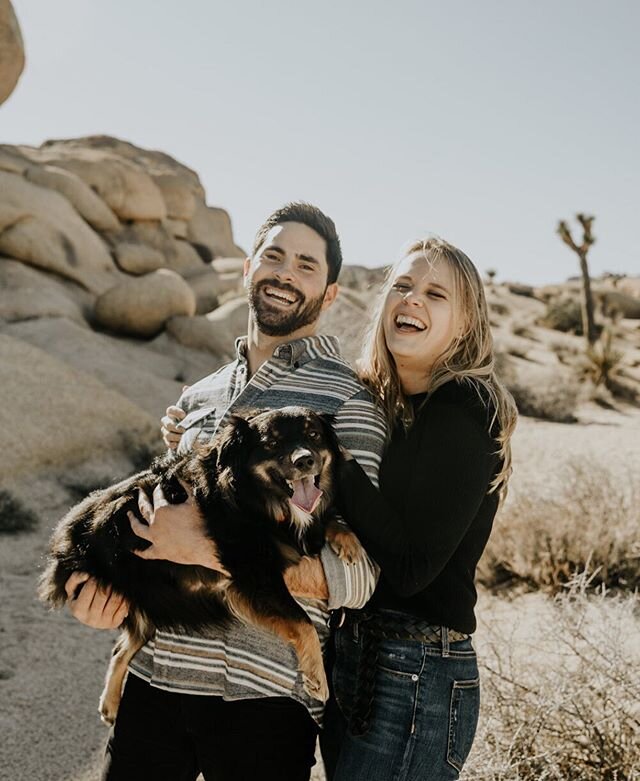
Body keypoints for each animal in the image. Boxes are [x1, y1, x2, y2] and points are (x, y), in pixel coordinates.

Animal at [38, 408, 360, 724]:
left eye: (313, 434)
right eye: (272, 443)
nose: (304, 460)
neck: (255, 499)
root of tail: (65, 535)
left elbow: (325, 519)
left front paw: (349, 540)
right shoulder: (254, 576)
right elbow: (302, 621)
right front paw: (317, 678)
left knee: (122, 647)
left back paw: (110, 703)